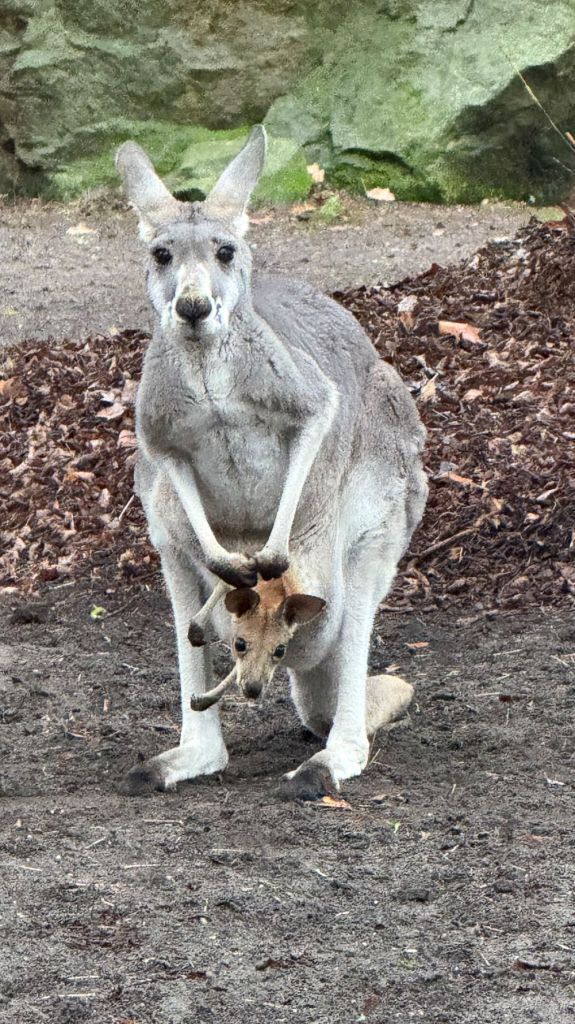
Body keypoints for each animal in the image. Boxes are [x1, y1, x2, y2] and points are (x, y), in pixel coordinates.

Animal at [115, 125, 427, 798]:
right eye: (161, 255)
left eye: (226, 251)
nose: (193, 308)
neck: (206, 365)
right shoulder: (158, 439)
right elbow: (183, 475)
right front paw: (236, 566)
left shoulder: (307, 395)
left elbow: (313, 430)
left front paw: (268, 553)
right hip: (162, 529)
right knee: (199, 631)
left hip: (379, 508)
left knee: (344, 645)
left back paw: (322, 765)